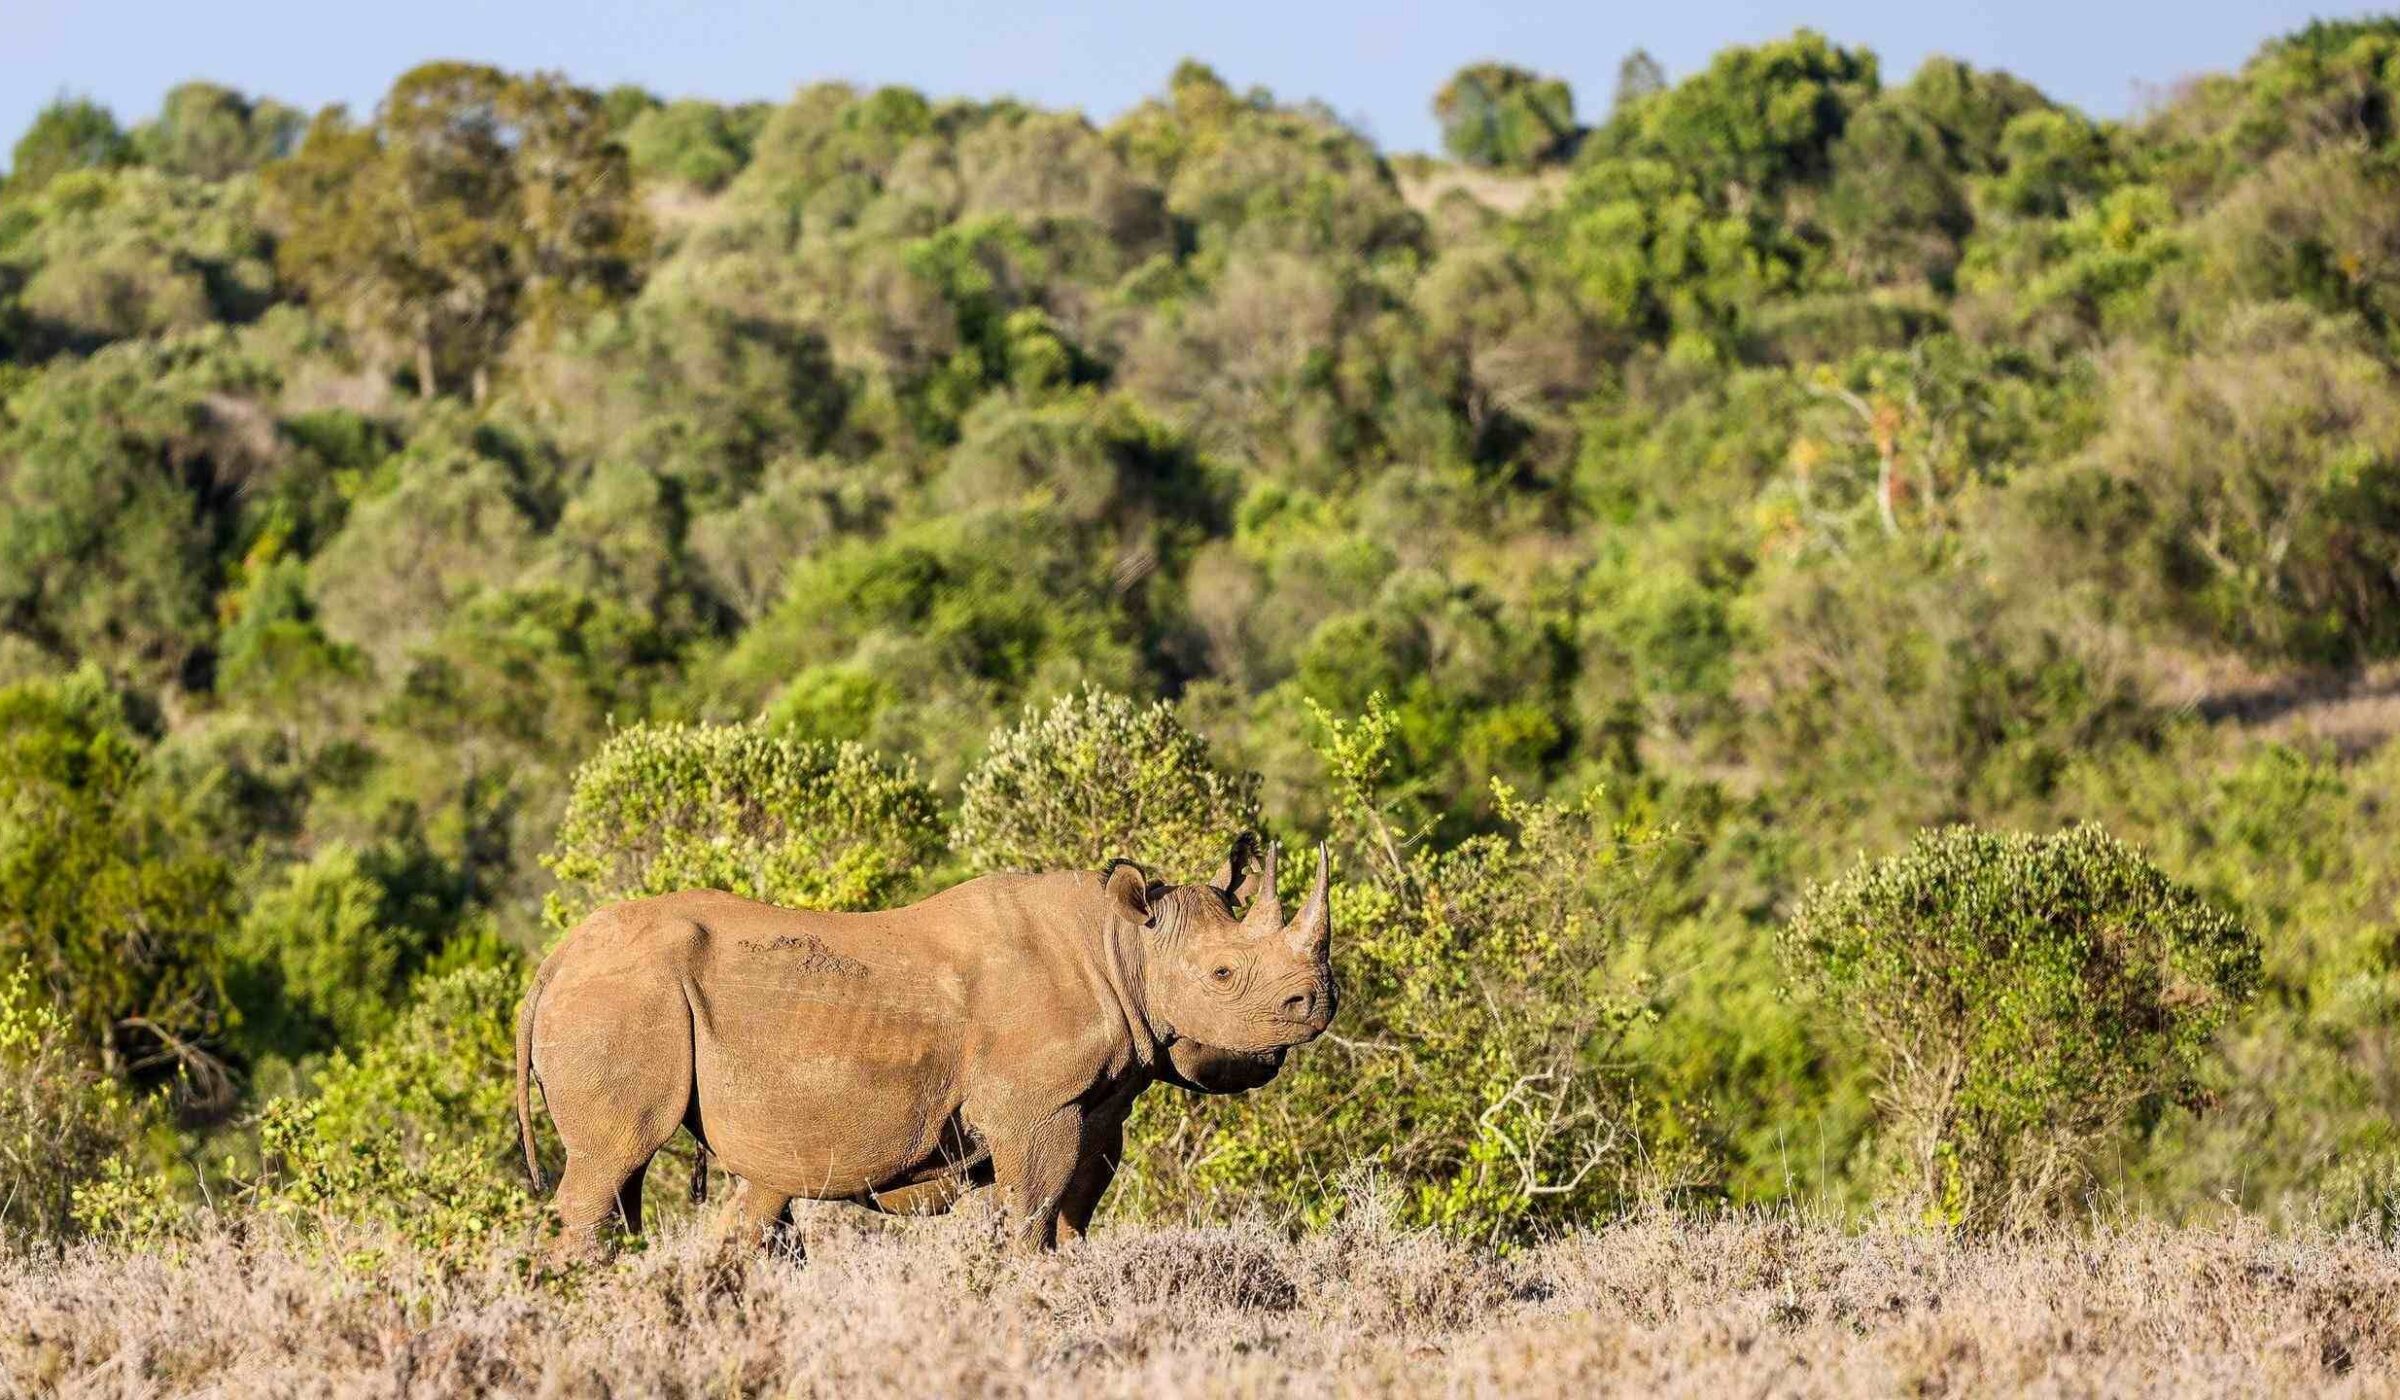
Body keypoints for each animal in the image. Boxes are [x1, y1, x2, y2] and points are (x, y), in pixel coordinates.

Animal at [514, 835, 1333, 1256]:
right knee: (612, 1159)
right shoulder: (1036, 1107)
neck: (1123, 945)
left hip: (624, 996)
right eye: (1223, 974)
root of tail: (553, 961)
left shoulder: (1101, 1102)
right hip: (623, 998)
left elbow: (1075, 1211)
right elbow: (1033, 1209)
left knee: (640, 1182)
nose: (1316, 1002)